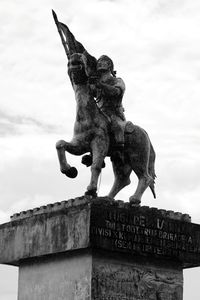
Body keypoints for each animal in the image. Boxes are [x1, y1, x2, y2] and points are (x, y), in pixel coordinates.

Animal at [55, 52, 156, 205]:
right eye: (71, 63)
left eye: (82, 63)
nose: (75, 57)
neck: (87, 116)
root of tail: (145, 133)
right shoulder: (80, 145)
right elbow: (60, 144)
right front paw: (69, 170)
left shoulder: (99, 143)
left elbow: (95, 165)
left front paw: (91, 190)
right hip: (120, 160)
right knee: (123, 179)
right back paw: (108, 197)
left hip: (137, 157)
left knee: (145, 177)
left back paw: (134, 199)